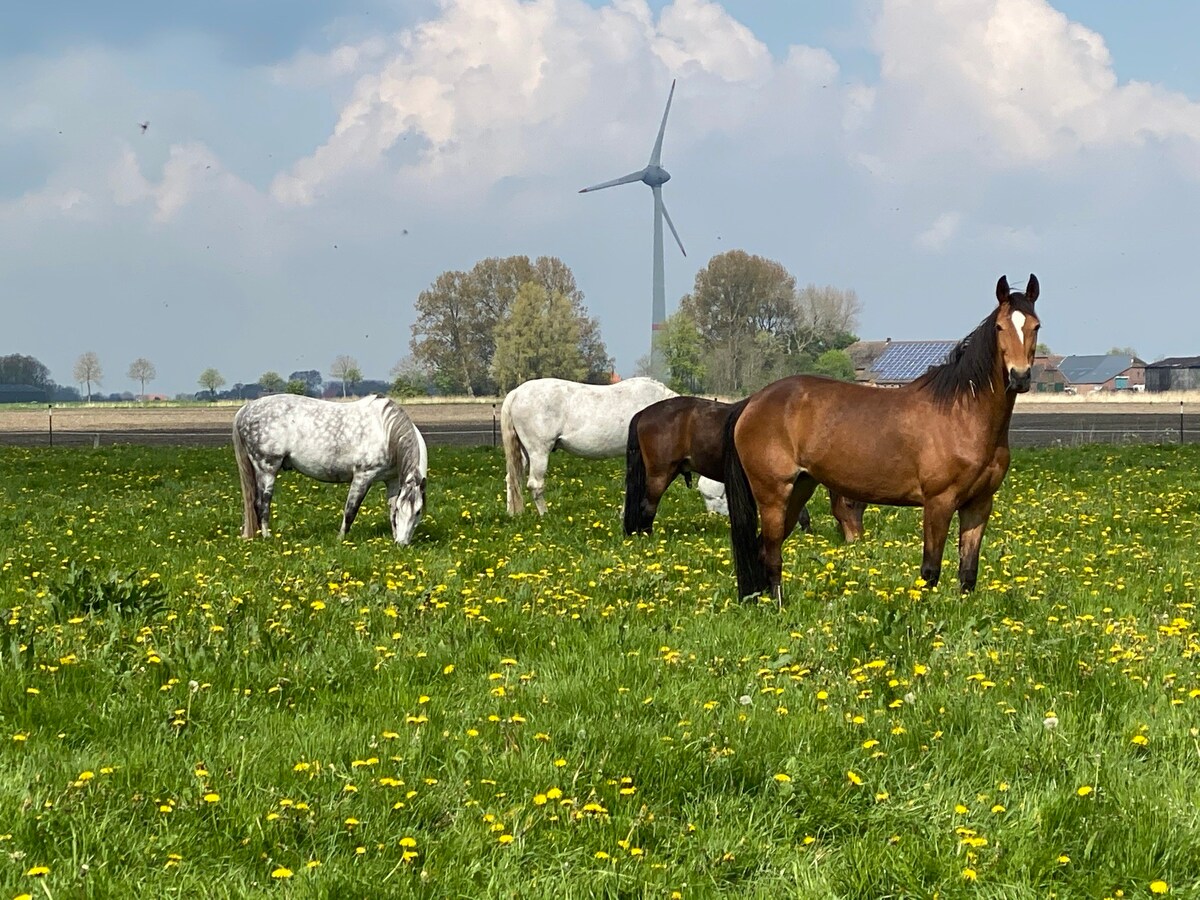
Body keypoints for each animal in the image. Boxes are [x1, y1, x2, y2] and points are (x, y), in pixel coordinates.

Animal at [232, 393, 427, 542]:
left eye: (418, 512)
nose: (402, 544)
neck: (386, 432)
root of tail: (246, 409)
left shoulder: (392, 480)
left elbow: (391, 511)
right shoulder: (363, 476)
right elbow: (350, 510)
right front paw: (340, 539)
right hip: (267, 469)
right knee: (261, 504)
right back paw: (266, 537)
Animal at [501, 374, 681, 513]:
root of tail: (516, 393)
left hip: (524, 453)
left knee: (512, 478)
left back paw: (513, 514)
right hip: (539, 451)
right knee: (535, 485)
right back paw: (545, 515)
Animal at [720, 271, 1041, 602]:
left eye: (1035, 326)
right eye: (1000, 327)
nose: (1019, 376)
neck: (963, 415)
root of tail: (752, 402)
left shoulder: (978, 504)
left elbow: (968, 572)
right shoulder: (939, 503)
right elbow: (930, 570)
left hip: (800, 488)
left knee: (763, 548)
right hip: (773, 494)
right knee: (771, 553)